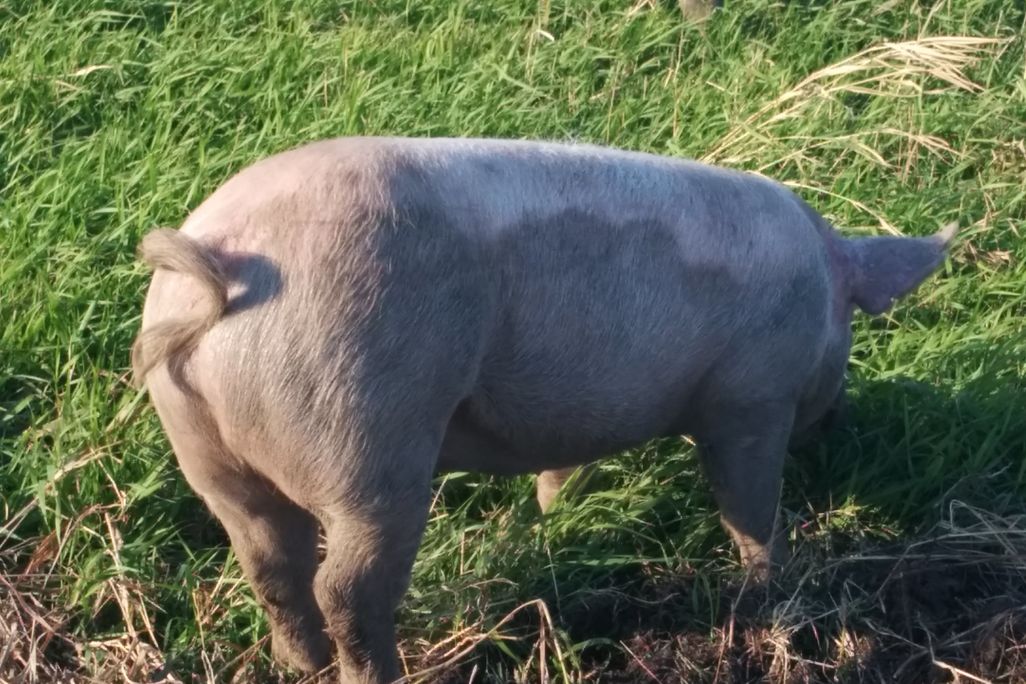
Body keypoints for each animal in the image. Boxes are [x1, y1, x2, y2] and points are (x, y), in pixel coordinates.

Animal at [132, 137, 956, 683]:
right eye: (854, 324)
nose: (840, 426)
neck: (819, 280)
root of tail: (222, 263)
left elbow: (563, 467)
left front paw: (554, 512)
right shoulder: (752, 399)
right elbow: (748, 503)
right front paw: (770, 586)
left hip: (207, 451)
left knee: (270, 561)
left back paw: (296, 665)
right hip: (364, 427)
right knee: (348, 586)